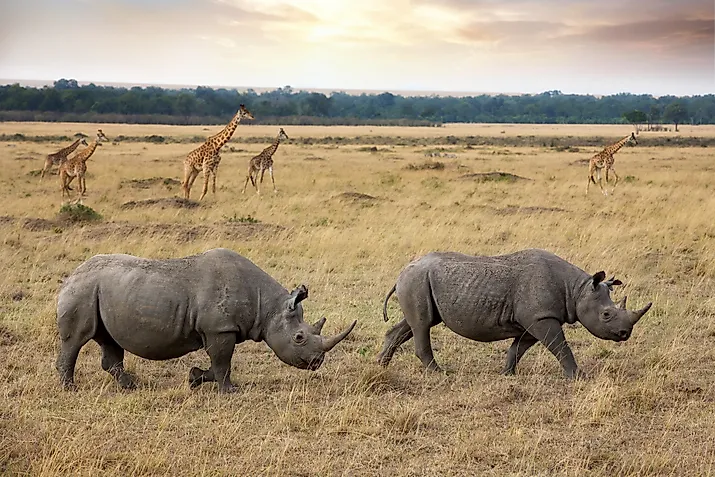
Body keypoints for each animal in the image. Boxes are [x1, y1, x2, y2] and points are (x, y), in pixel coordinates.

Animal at [56, 248, 357, 392]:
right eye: (299, 337)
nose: (317, 363)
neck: (269, 306)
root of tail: (71, 274)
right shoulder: (219, 328)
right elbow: (223, 362)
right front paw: (230, 391)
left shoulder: (217, 329)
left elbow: (218, 363)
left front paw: (194, 378)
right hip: (83, 290)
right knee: (77, 340)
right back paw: (70, 389)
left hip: (100, 291)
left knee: (108, 340)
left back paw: (130, 386)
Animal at [378, 249, 652, 379]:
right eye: (606, 315)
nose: (624, 333)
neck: (577, 290)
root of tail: (402, 272)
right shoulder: (542, 317)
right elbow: (560, 347)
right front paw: (578, 377)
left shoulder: (536, 318)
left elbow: (518, 348)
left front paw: (507, 373)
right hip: (416, 280)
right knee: (422, 325)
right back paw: (440, 373)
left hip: (418, 281)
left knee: (414, 324)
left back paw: (381, 365)